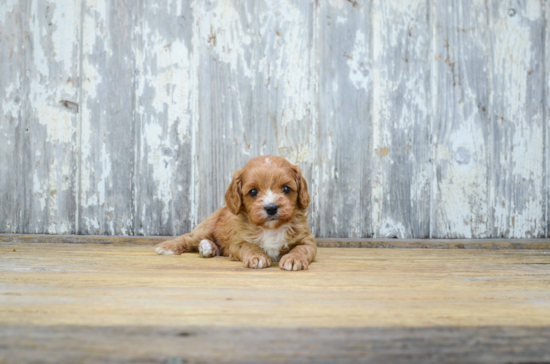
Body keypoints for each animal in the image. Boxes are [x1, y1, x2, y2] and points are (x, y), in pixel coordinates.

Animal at [157, 155, 316, 272]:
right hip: (205, 228)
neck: (271, 228)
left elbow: (301, 248)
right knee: (188, 238)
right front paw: (257, 256)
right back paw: (168, 247)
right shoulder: (238, 241)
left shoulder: (307, 239)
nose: (271, 208)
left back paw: (208, 247)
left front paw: (294, 258)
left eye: (286, 189)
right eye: (253, 191)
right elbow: (249, 245)